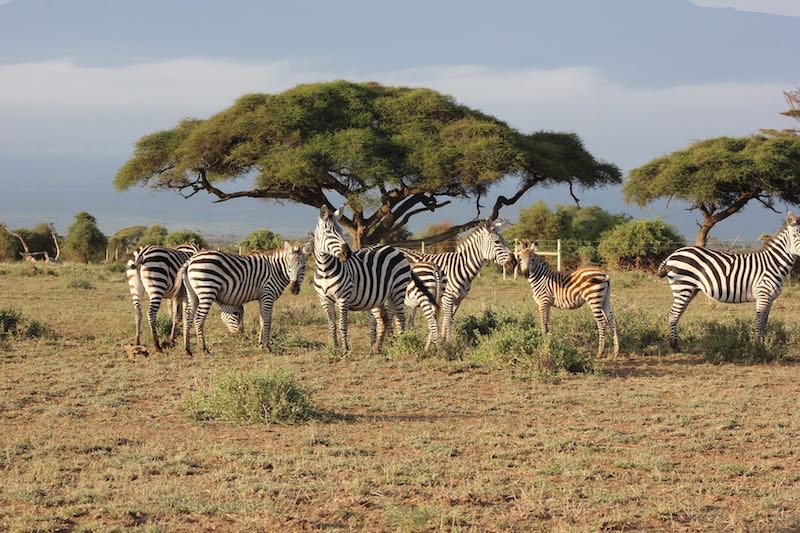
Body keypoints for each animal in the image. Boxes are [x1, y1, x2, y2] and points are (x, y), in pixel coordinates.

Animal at [180, 240, 310, 354]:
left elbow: (262, 320)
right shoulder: (268, 295)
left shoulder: (262, 298)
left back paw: (187, 349)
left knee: (187, 316)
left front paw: (260, 344)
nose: (294, 289)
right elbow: (267, 320)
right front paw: (267, 347)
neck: (276, 270)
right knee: (198, 318)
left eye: (303, 267)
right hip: (207, 289)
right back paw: (203, 349)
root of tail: (191, 260)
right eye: (289, 266)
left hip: (192, 293)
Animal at [312, 206, 432, 356]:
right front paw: (335, 349)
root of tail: (394, 248)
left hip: (398, 290)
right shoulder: (324, 300)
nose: (347, 253)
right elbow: (332, 325)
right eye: (328, 232)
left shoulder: (343, 298)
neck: (325, 271)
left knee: (400, 319)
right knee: (384, 321)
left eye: (340, 231)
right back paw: (377, 348)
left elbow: (342, 325)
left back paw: (402, 345)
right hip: (380, 297)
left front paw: (345, 350)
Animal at [656, 212, 800, 350]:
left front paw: (763, 345)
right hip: (683, 287)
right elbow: (759, 323)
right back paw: (674, 346)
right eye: (795, 235)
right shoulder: (763, 295)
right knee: (673, 314)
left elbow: (764, 322)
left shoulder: (770, 298)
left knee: (677, 313)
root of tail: (673, 254)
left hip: (691, 290)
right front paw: (758, 347)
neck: (774, 263)